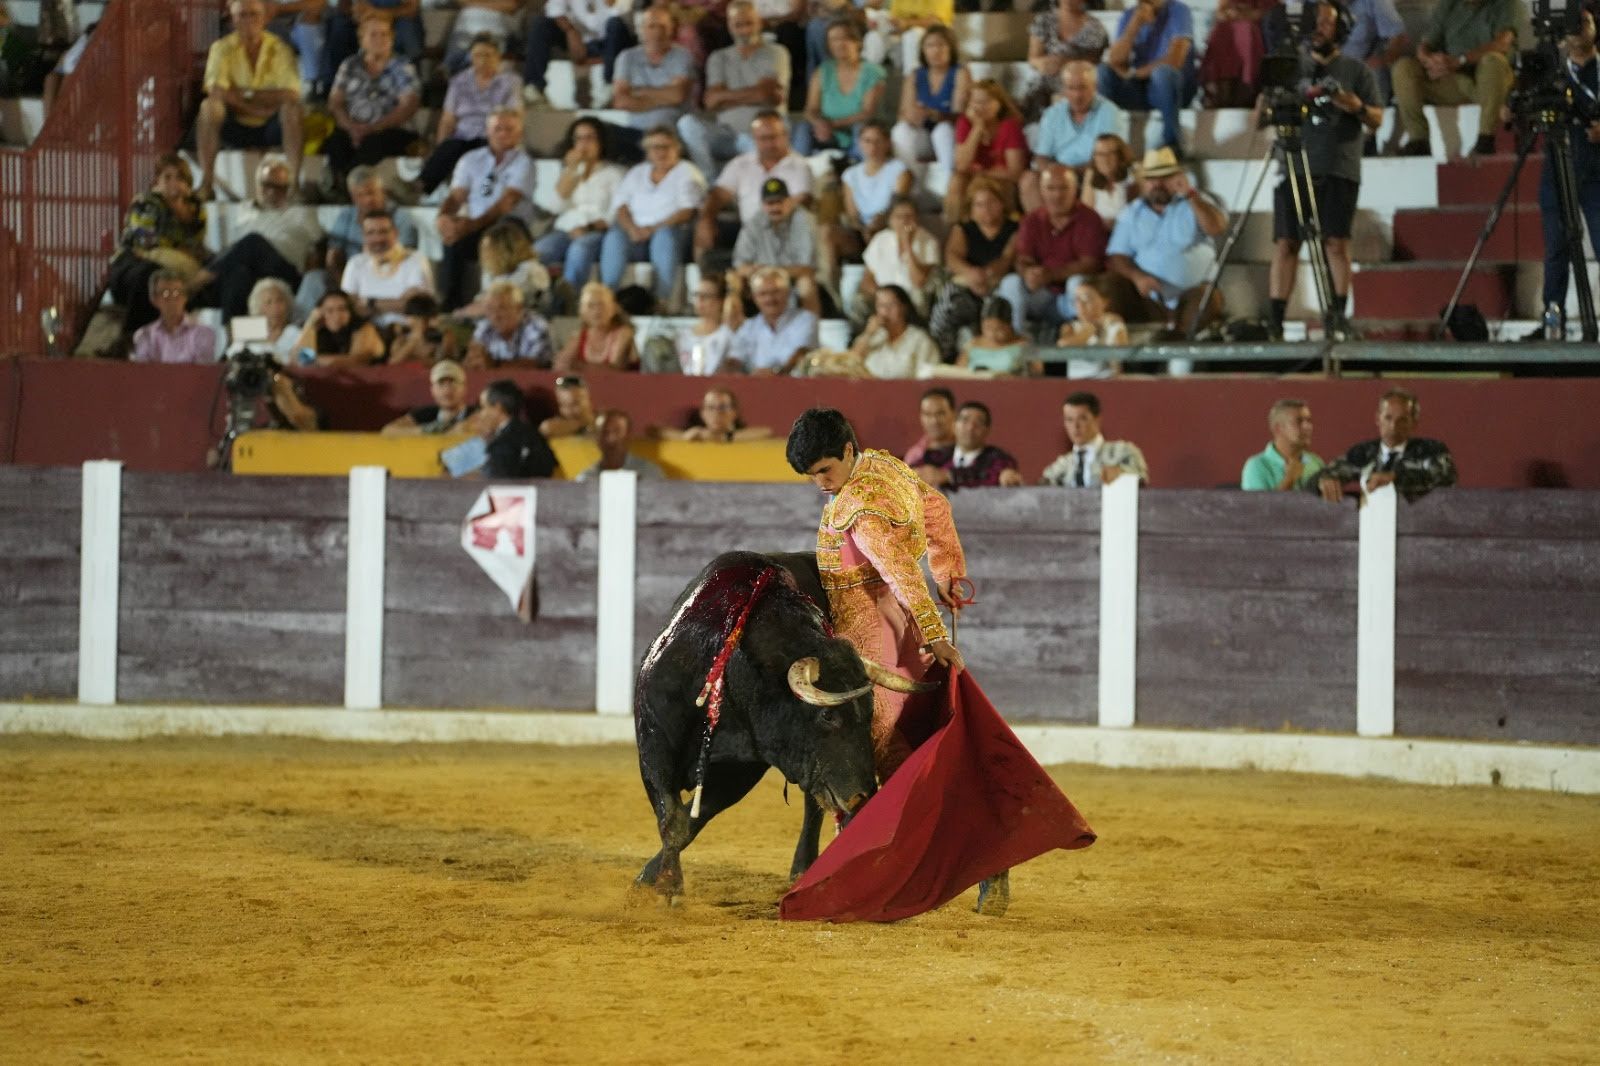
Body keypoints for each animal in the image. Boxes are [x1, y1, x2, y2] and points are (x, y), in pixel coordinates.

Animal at [630, 547, 921, 896]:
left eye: (868, 713)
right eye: (828, 715)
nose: (864, 796)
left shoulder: (741, 770)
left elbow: (688, 821)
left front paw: (659, 882)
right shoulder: (654, 741)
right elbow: (672, 819)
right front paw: (658, 884)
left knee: (813, 805)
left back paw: (806, 868)